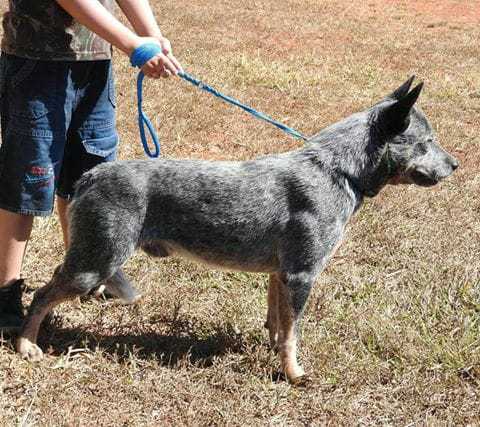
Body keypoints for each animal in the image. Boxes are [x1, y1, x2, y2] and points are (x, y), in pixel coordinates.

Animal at [15, 76, 458, 384]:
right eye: (427, 141)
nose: (455, 164)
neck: (337, 170)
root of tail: (90, 176)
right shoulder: (302, 274)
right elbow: (293, 333)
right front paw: (294, 374)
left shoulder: (281, 275)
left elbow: (279, 323)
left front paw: (275, 351)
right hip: (97, 261)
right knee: (41, 295)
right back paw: (25, 344)